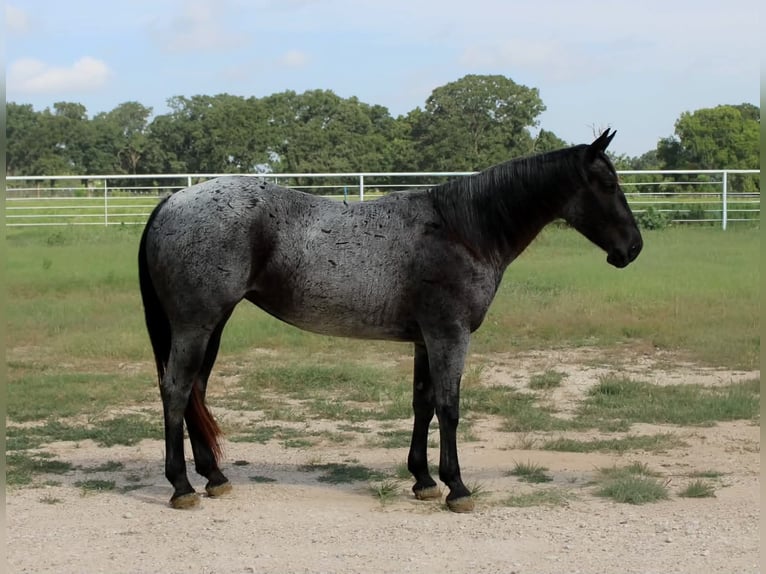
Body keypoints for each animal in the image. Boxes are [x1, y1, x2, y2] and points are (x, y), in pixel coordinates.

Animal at [138, 129, 642, 512]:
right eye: (605, 183)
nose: (633, 249)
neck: (462, 231)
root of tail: (174, 200)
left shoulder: (425, 339)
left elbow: (423, 403)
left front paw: (423, 480)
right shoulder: (449, 335)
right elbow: (450, 408)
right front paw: (457, 488)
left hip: (213, 325)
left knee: (195, 392)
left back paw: (214, 477)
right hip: (196, 325)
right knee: (176, 390)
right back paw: (181, 486)